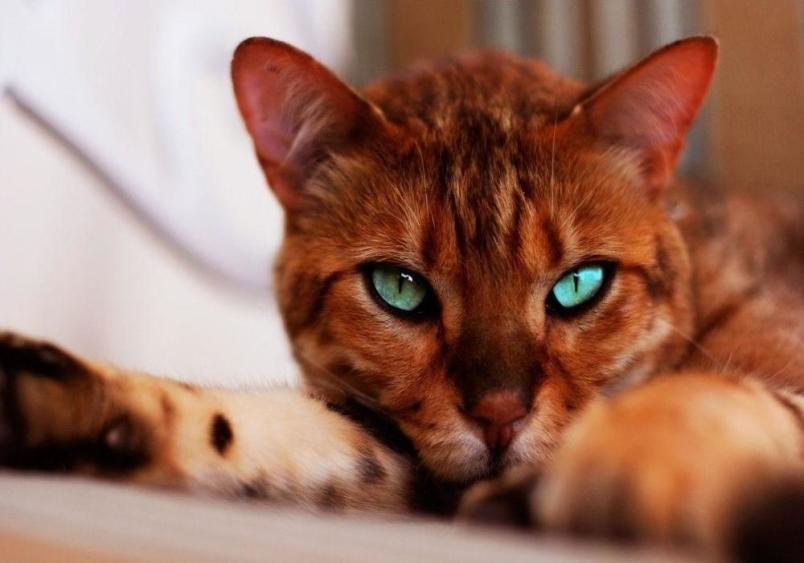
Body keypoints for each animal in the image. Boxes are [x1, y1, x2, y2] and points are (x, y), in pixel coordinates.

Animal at [1, 36, 804, 563]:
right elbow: (256, 428)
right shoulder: (402, 452)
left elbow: (702, 395)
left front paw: (624, 472)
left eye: (580, 284)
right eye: (400, 288)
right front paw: (57, 396)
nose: (500, 414)